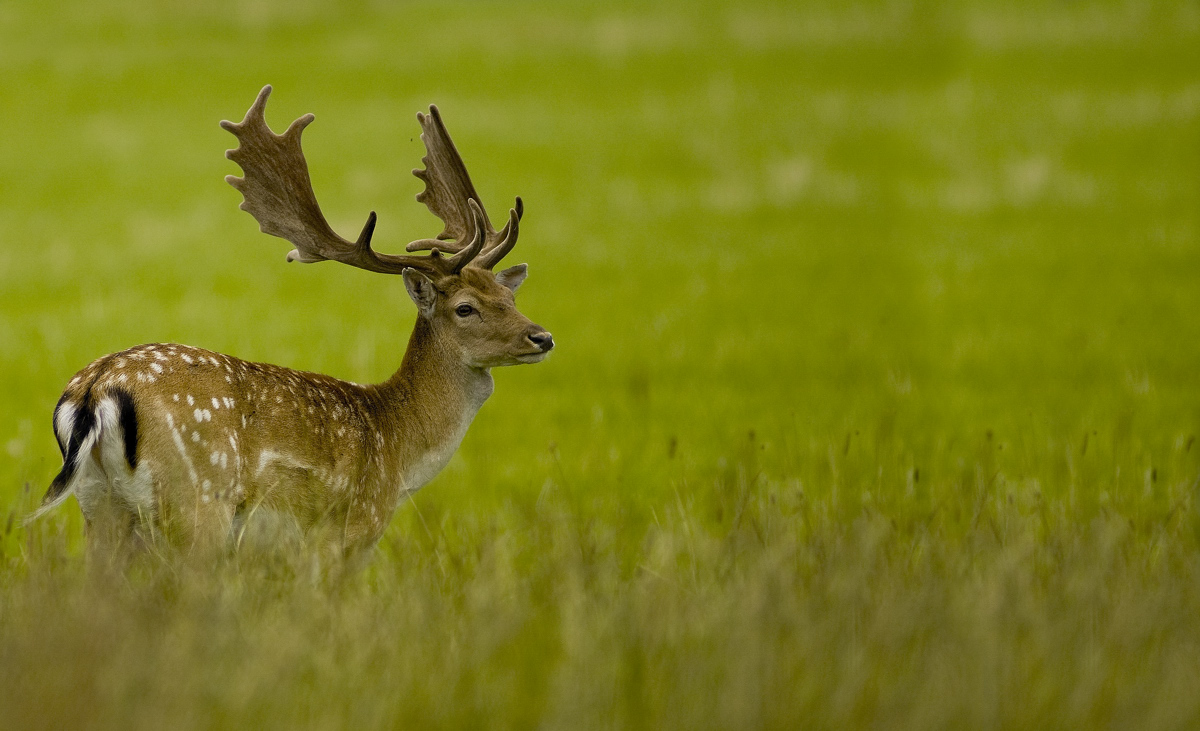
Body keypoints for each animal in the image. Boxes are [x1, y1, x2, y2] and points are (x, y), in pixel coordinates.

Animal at [32, 86, 554, 559]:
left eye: (509, 295)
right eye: (465, 307)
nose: (542, 337)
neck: (398, 448)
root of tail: (96, 387)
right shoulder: (347, 530)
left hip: (99, 505)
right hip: (199, 500)